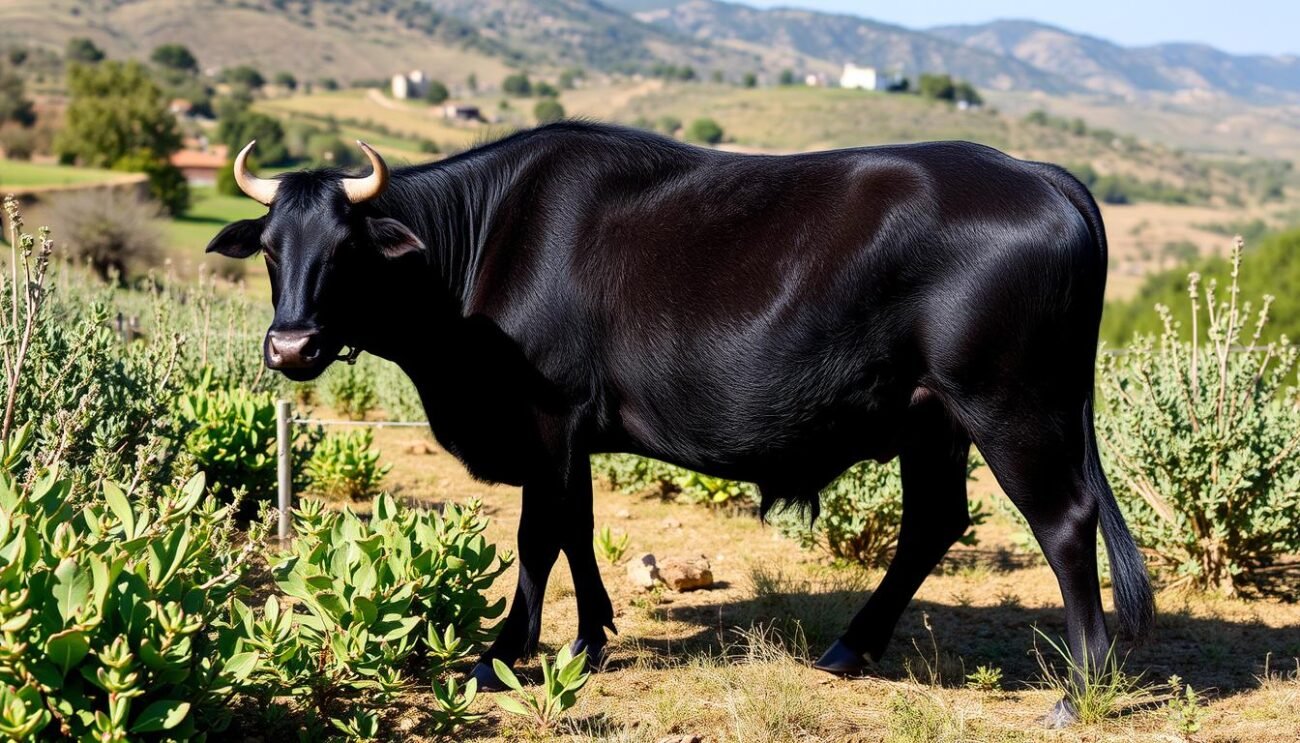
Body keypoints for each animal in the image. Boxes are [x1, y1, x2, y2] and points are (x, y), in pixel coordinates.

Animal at [208, 123, 1154, 727]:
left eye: (347, 250)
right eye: (271, 250)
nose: (290, 345)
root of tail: (1037, 172)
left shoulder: (546, 418)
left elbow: (536, 535)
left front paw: (501, 653)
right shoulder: (573, 432)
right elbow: (579, 525)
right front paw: (591, 635)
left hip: (1011, 406)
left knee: (1065, 525)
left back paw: (1080, 689)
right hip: (933, 418)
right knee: (934, 521)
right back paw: (850, 647)